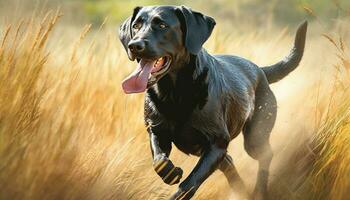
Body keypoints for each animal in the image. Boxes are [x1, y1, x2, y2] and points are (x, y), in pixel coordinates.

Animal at [118, 5, 306, 200]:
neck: (174, 93)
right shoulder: (156, 131)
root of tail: (259, 70)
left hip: (254, 138)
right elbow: (159, 160)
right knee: (229, 162)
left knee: (265, 155)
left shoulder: (218, 142)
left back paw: (258, 191)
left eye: (162, 25)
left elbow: (189, 183)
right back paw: (241, 190)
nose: (134, 45)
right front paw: (172, 172)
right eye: (136, 26)